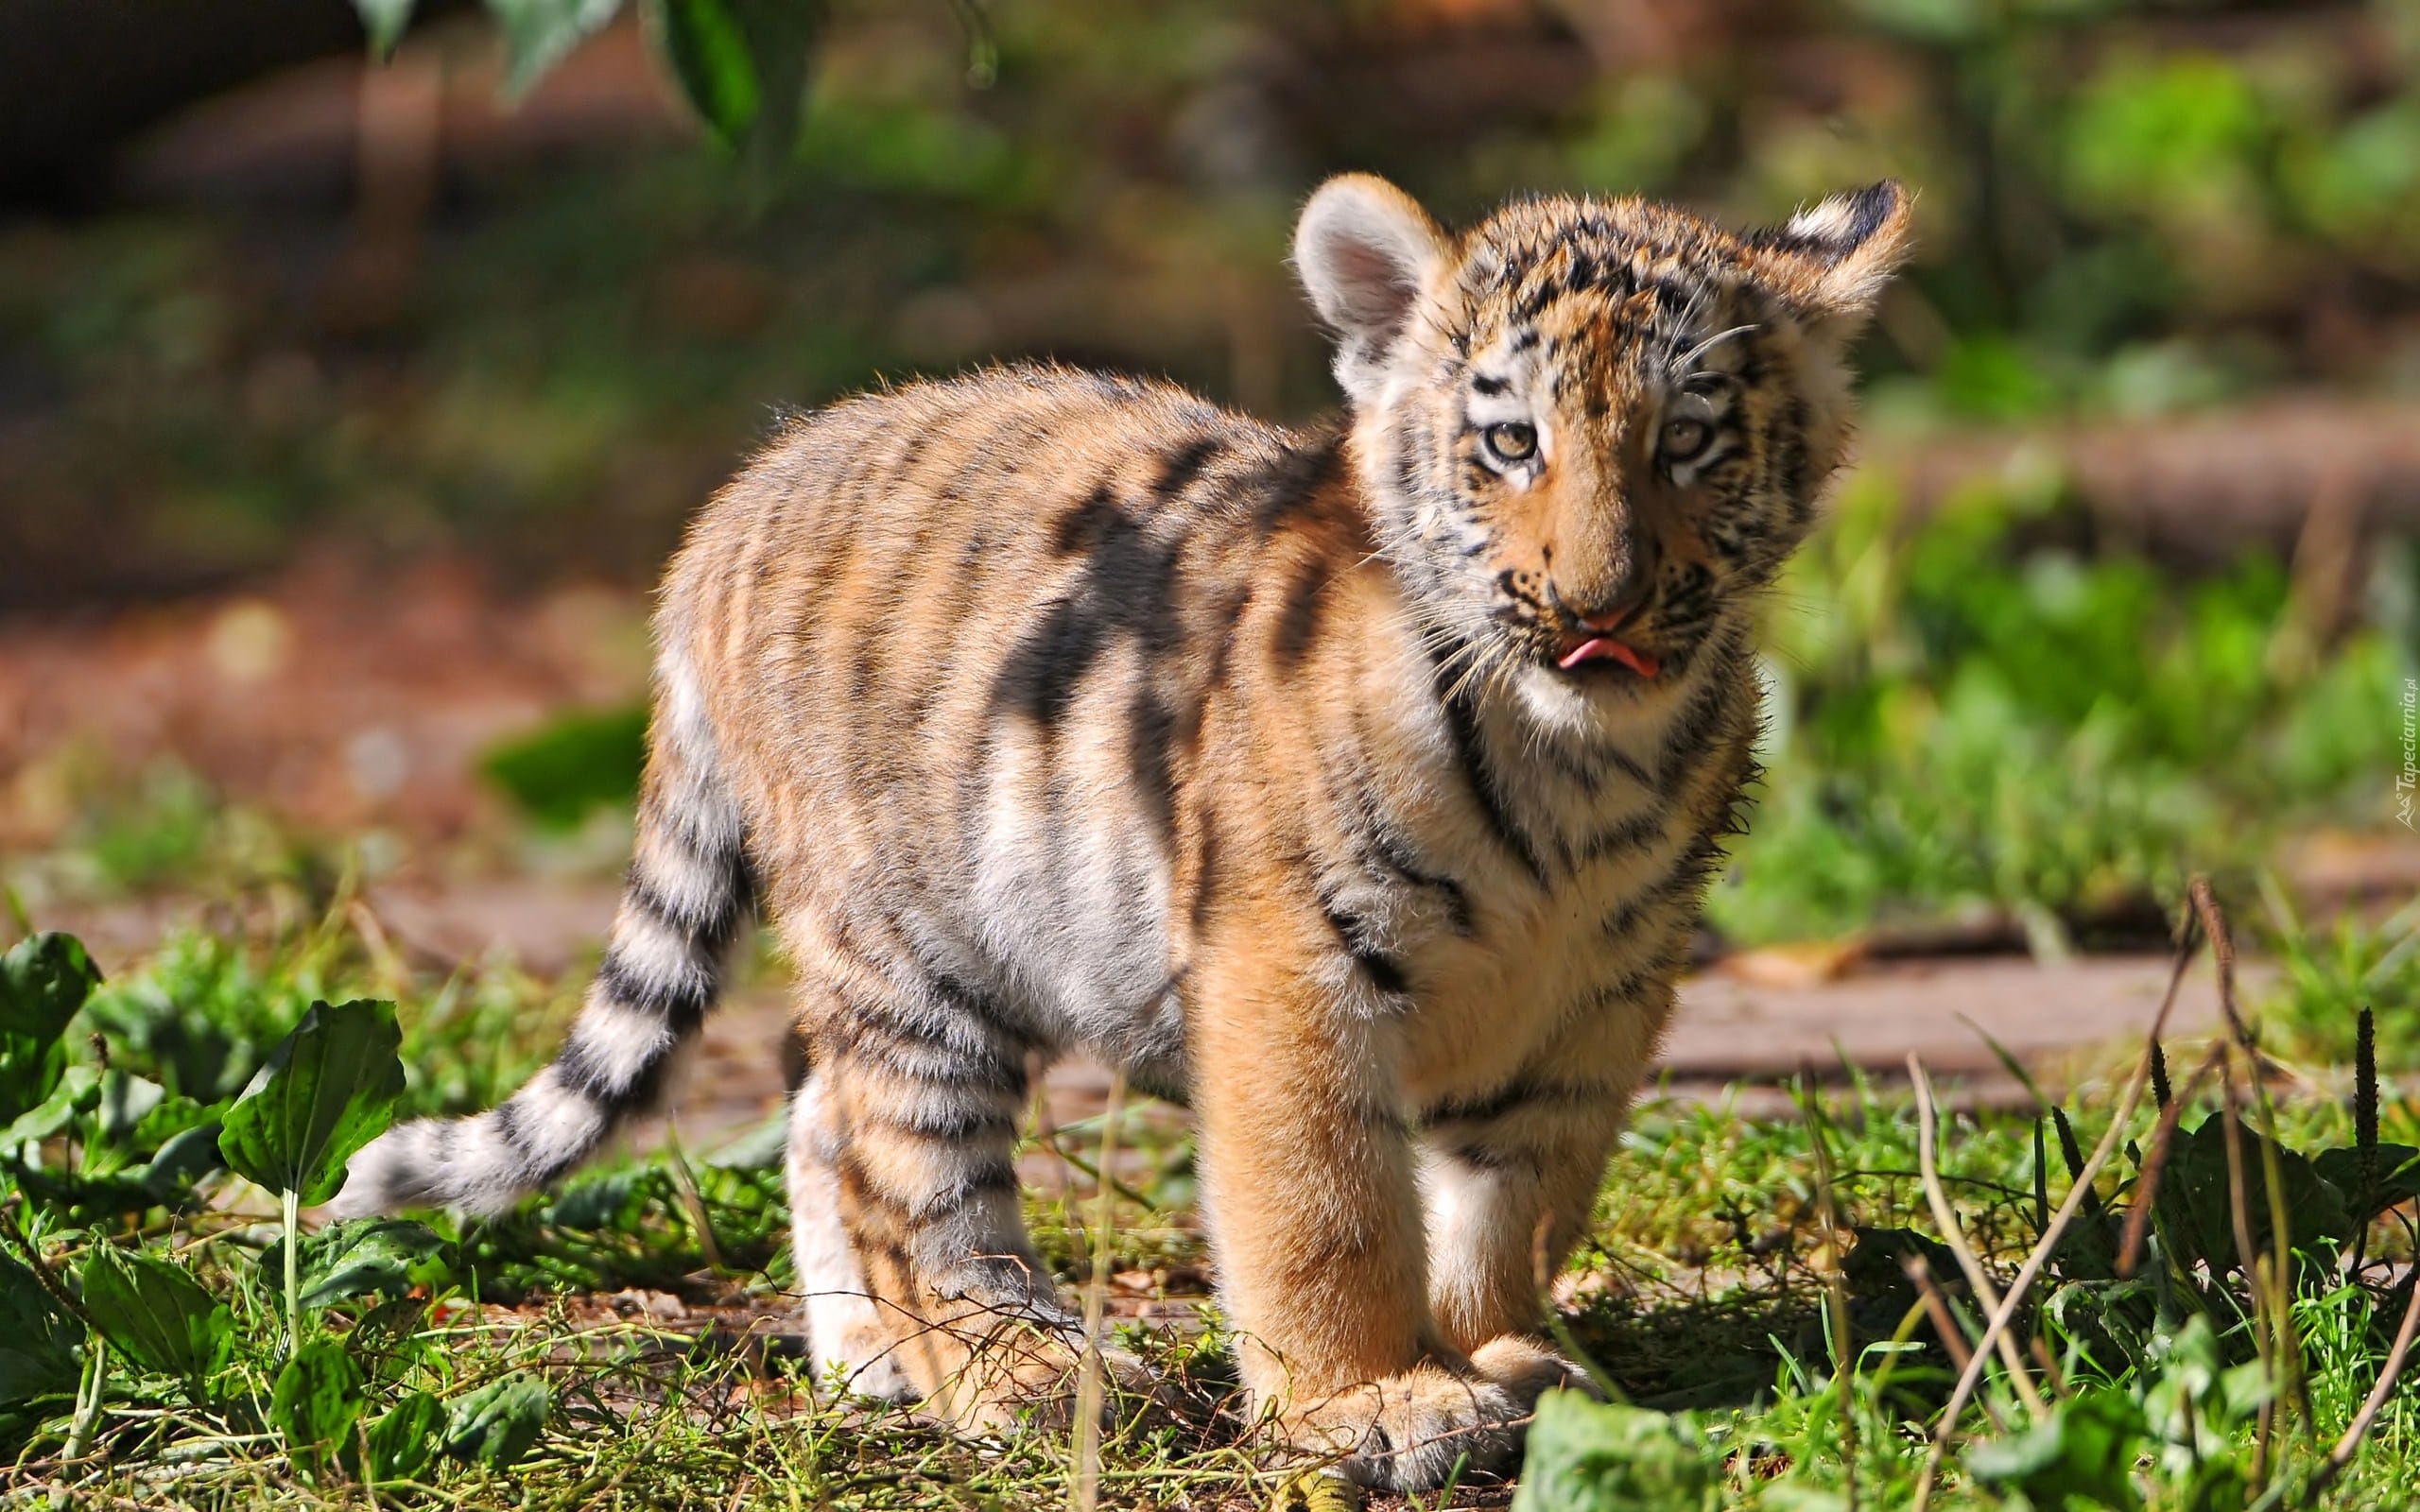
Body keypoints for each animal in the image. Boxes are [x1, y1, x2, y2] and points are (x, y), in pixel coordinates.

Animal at [336, 171, 1910, 1489]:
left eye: (1688, 443)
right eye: (1509, 442)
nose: (1600, 607)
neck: (1579, 761)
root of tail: (732, 502)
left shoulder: (1600, 992)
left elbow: (1518, 1196)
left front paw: (1511, 1353)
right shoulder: (1291, 963)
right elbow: (1326, 1206)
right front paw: (1372, 1402)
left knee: (813, 1109)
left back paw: (872, 1365)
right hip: (912, 951)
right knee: (903, 1168)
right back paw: (1014, 1374)